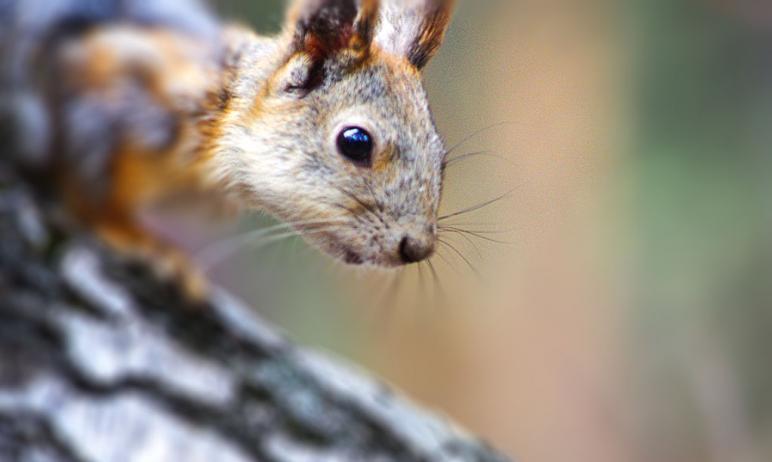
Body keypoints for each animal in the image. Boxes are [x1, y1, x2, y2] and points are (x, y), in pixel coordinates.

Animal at [0, 0, 456, 296]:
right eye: (356, 142)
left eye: (441, 158)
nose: (417, 248)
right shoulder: (107, 90)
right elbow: (87, 184)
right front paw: (142, 241)